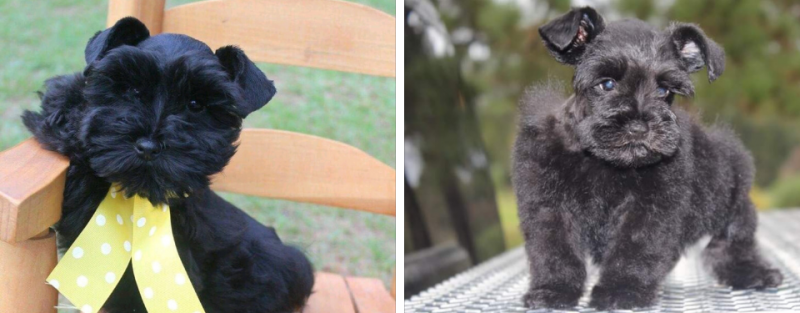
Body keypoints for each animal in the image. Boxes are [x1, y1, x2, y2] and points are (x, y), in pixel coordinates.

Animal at [512, 6, 780, 310]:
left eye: (664, 91)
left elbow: (634, 247)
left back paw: (754, 272)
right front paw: (553, 290)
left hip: (732, 197)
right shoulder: (548, 204)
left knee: (734, 242)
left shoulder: (649, 208)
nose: (639, 127)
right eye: (607, 84)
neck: (605, 161)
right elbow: (555, 249)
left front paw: (622, 290)